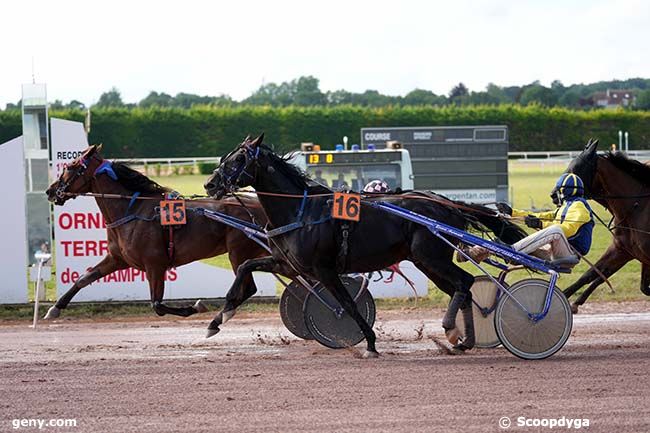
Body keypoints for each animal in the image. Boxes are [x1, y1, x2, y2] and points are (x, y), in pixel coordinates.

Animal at [45, 144, 268, 318]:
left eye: (70, 167)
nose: (50, 191)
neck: (131, 211)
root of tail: (257, 205)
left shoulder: (155, 264)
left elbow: (157, 305)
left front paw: (197, 306)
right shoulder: (117, 259)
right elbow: (84, 278)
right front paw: (55, 308)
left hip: (238, 253)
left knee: (248, 287)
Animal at [201, 133, 520, 356]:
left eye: (238, 160)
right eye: (227, 157)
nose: (210, 184)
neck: (300, 211)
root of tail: (447, 203)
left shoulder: (324, 269)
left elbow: (348, 304)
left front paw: (369, 343)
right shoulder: (287, 263)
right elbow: (245, 267)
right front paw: (218, 318)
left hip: (431, 257)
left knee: (465, 283)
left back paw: (453, 331)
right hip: (426, 262)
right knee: (460, 289)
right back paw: (462, 341)